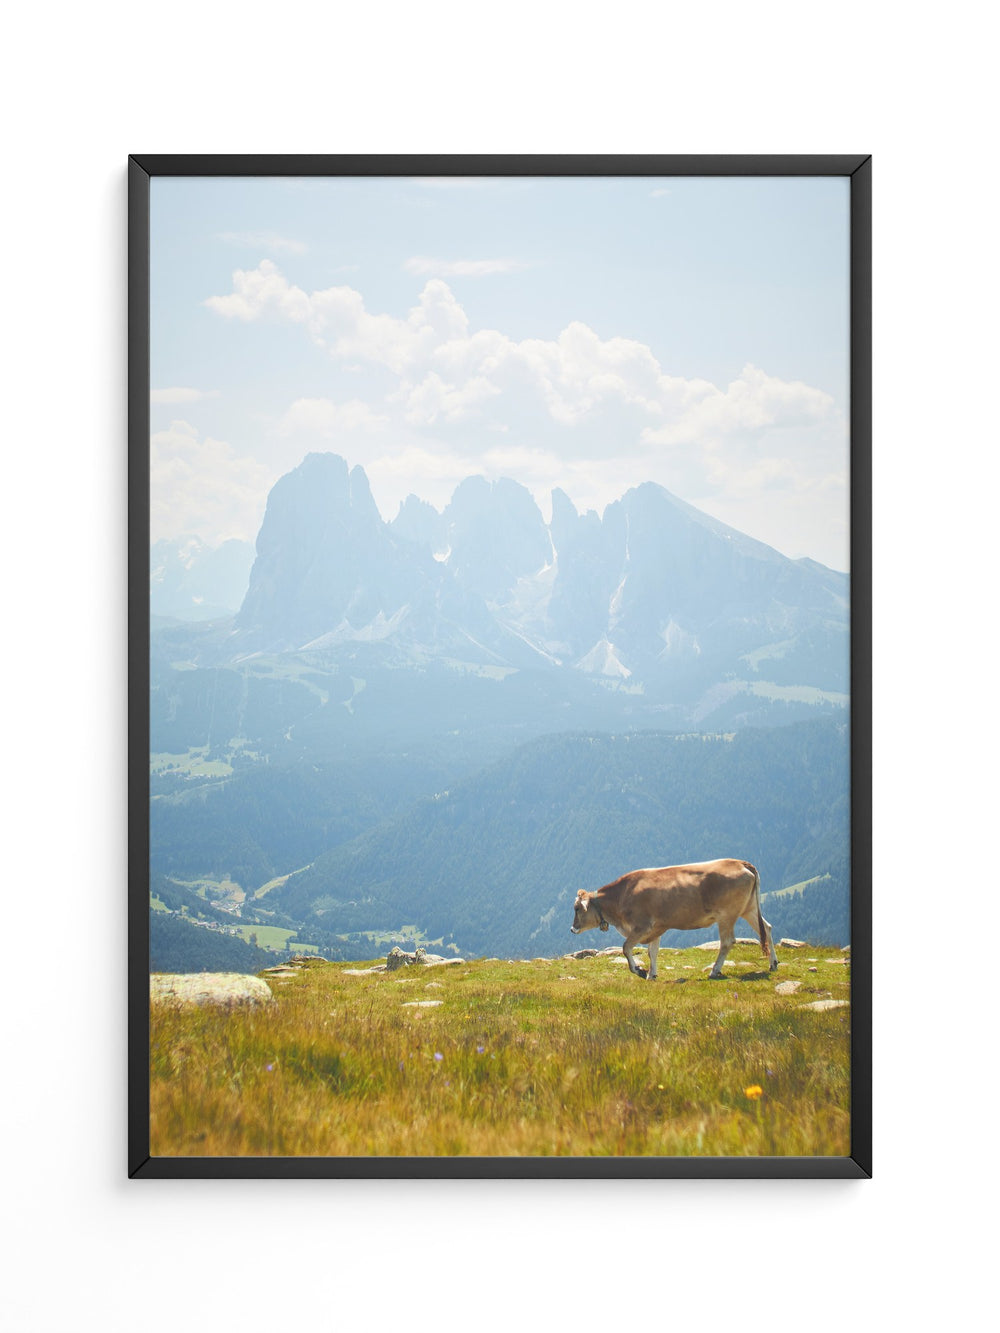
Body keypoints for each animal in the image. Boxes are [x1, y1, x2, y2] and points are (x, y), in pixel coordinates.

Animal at [570, 858, 778, 980]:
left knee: (727, 941)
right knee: (767, 928)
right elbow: (652, 952)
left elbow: (626, 947)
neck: (622, 896)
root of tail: (740, 862)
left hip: (727, 915)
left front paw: (639, 970)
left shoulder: (642, 926)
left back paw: (714, 970)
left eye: (577, 908)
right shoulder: (656, 927)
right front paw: (652, 975)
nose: (572, 929)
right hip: (749, 909)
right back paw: (773, 964)